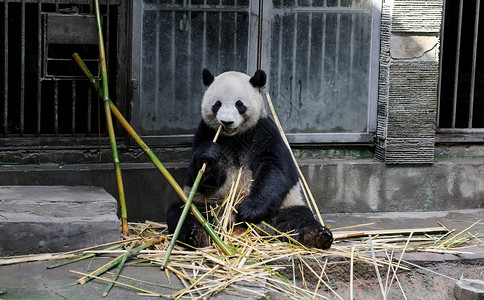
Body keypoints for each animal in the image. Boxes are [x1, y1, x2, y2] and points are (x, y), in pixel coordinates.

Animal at [167, 69, 332, 250]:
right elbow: (196, 176)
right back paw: (197, 235)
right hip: (209, 207)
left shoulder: (264, 131)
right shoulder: (206, 132)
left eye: (239, 104)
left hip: (283, 207)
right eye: (217, 104)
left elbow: (276, 169)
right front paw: (209, 157)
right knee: (183, 212)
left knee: (298, 217)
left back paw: (315, 236)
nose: (226, 122)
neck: (234, 136)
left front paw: (249, 210)